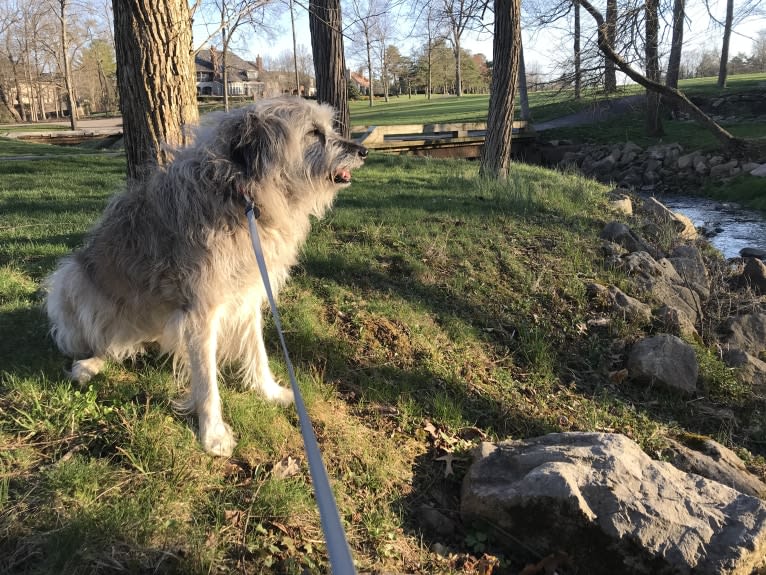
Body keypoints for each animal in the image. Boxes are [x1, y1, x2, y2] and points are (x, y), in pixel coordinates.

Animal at [44, 100, 368, 460]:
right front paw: (212, 434)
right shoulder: (200, 311)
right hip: (70, 280)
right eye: (313, 133)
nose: (363, 151)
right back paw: (88, 364)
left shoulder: (249, 294)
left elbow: (257, 350)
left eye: (329, 128)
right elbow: (206, 381)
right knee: (103, 341)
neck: (241, 195)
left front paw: (268, 391)